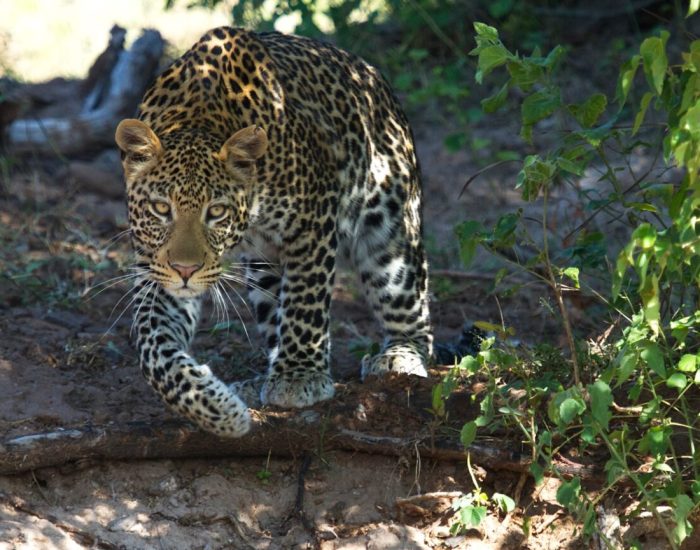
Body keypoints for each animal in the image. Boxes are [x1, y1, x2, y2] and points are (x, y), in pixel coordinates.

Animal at [115, 26, 433, 438]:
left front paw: (299, 377)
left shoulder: (314, 216)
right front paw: (217, 411)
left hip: (391, 236)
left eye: (216, 212)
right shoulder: (156, 266)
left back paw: (399, 356)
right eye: (160, 209)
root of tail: (374, 78)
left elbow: (305, 302)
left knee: (414, 316)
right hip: (264, 268)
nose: (186, 270)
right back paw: (255, 382)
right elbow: (152, 346)